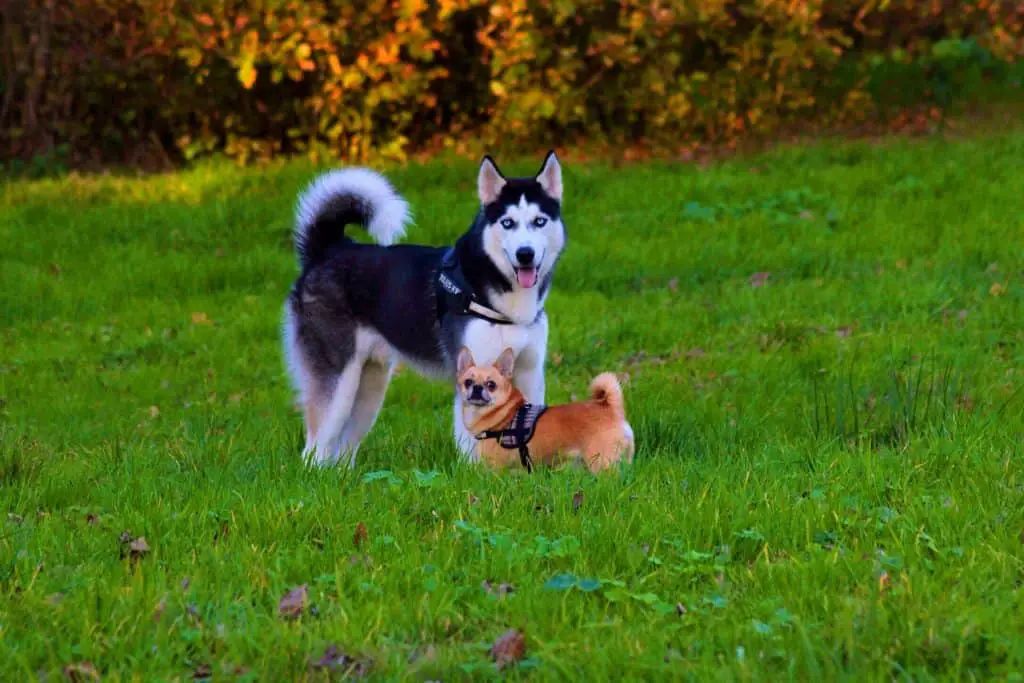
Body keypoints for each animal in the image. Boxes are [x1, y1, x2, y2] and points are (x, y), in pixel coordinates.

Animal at [456, 348, 630, 471]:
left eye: (491, 385)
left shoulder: (496, 468)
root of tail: (611, 408)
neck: (503, 415)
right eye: (468, 382)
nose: (477, 387)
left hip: (601, 462)